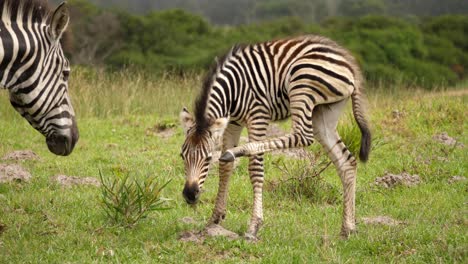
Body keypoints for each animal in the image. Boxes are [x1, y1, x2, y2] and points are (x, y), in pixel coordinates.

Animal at [181, 35, 372, 239]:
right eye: (182, 156)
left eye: (207, 158)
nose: (190, 195)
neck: (232, 89)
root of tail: (348, 60)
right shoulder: (232, 123)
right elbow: (225, 168)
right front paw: (215, 218)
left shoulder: (258, 115)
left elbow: (255, 169)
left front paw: (254, 226)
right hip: (325, 111)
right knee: (346, 161)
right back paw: (348, 228)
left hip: (301, 83)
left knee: (302, 136)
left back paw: (240, 150)